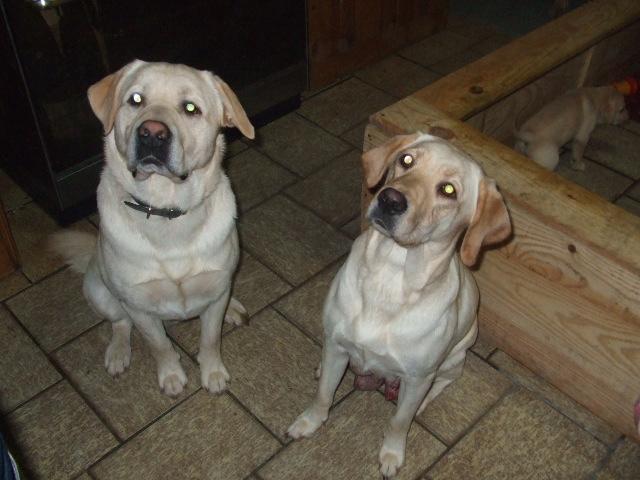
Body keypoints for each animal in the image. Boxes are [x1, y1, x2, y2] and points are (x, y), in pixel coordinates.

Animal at [52, 60, 255, 396]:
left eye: (191, 108)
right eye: (136, 100)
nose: (152, 133)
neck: (166, 212)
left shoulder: (215, 291)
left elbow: (210, 339)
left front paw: (213, 373)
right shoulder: (139, 307)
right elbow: (158, 345)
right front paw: (171, 376)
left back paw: (235, 308)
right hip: (99, 292)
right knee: (119, 324)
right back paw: (118, 353)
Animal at [287, 132, 511, 477]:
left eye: (449, 190)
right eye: (407, 160)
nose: (390, 199)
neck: (390, 275)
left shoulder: (417, 378)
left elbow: (398, 421)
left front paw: (391, 455)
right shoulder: (337, 344)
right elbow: (323, 394)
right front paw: (309, 422)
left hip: (454, 357)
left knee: (443, 383)